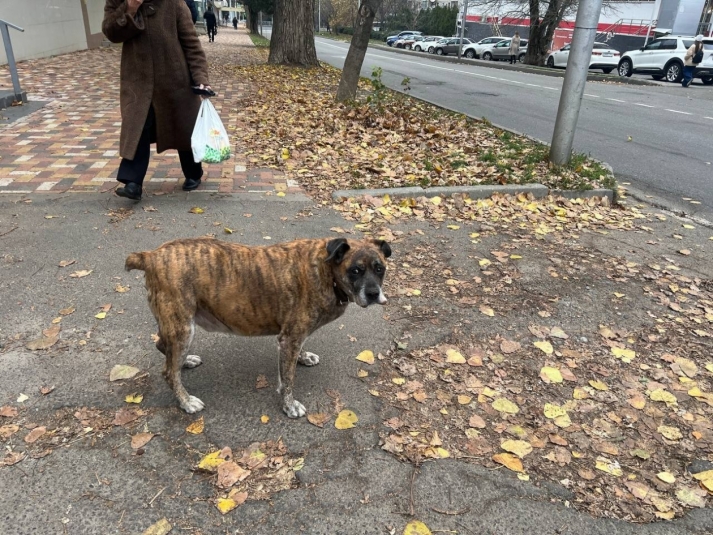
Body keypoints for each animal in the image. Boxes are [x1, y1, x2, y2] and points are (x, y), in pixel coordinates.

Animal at [124, 238, 390, 418]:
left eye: (380, 269)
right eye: (355, 270)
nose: (374, 293)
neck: (326, 271)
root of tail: (150, 256)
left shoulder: (294, 337)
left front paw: (303, 357)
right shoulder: (290, 338)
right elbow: (288, 379)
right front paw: (289, 405)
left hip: (176, 326)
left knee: (163, 346)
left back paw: (185, 361)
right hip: (182, 328)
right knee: (169, 371)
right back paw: (186, 400)